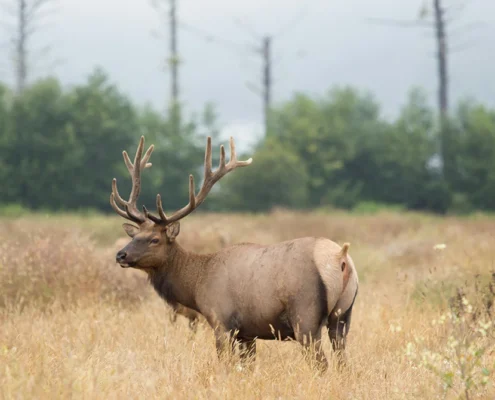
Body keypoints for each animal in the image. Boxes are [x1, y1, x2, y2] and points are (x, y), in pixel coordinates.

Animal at [110, 135, 358, 372]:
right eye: (134, 236)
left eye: (155, 239)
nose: (120, 255)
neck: (197, 285)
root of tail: (341, 257)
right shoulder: (248, 333)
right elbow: (247, 367)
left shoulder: (221, 321)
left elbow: (226, 364)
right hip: (343, 316)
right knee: (343, 363)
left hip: (306, 316)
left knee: (322, 364)